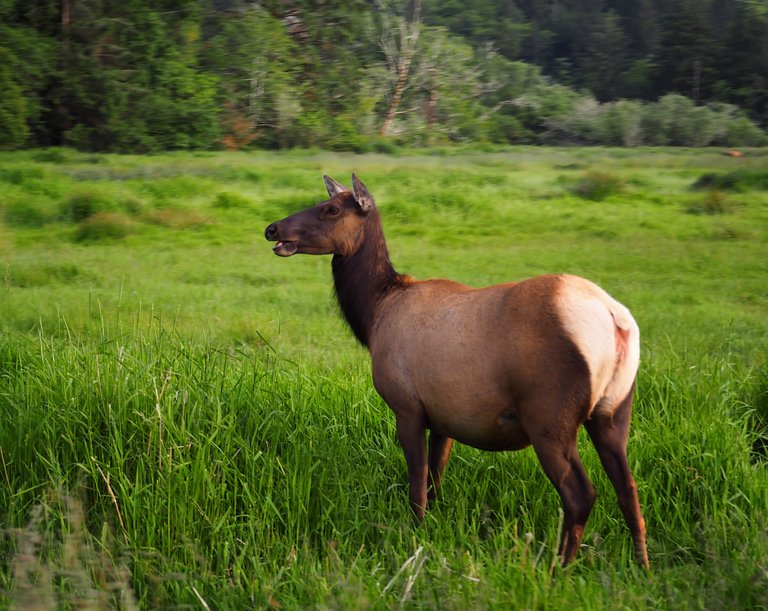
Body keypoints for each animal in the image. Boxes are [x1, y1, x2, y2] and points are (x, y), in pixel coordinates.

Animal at [264, 173, 648, 568]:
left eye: (331, 209)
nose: (272, 228)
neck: (373, 314)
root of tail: (615, 319)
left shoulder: (407, 406)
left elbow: (417, 485)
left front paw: (414, 535)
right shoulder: (444, 418)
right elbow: (435, 479)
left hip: (549, 416)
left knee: (581, 495)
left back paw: (559, 568)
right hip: (614, 410)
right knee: (629, 488)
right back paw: (642, 566)